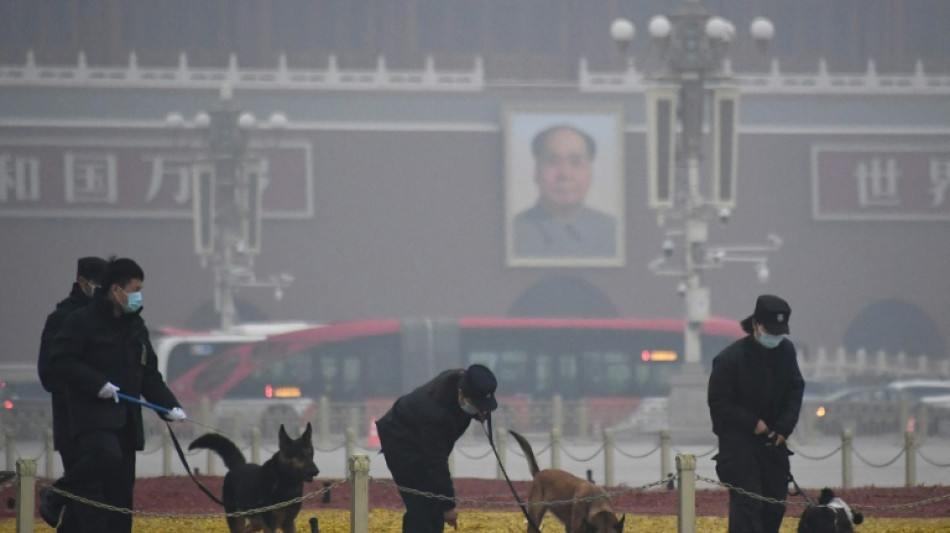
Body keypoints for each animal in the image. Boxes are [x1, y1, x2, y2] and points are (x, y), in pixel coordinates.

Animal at [190, 422, 320, 528]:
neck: (281, 482)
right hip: (237, 519)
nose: (316, 471)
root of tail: (238, 465)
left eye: (311, 454)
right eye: (300, 455)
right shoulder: (270, 524)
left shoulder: (288, 523)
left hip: (256, 522)